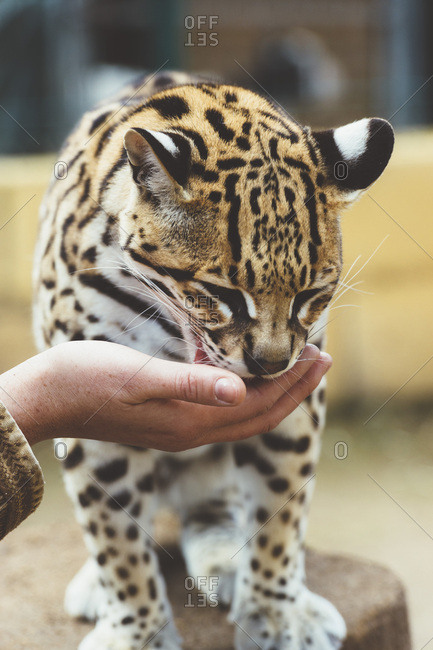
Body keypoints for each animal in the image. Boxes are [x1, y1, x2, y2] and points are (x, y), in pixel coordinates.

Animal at [33, 70, 394, 650]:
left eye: (309, 294)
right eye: (221, 294)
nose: (271, 364)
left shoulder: (297, 403)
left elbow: (280, 506)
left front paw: (275, 612)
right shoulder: (96, 420)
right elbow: (115, 535)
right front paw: (139, 631)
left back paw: (225, 559)